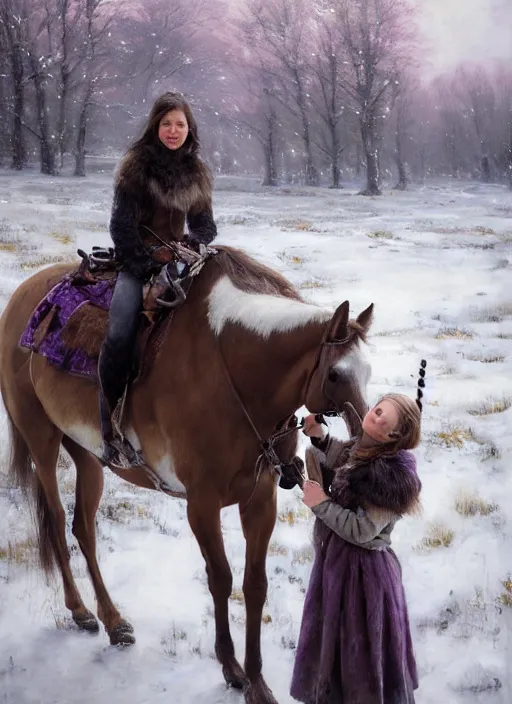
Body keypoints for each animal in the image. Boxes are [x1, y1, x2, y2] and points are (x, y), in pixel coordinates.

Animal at [0, 245, 372, 700]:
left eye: (368, 371)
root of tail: (20, 297)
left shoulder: (260, 498)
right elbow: (221, 579)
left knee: (82, 528)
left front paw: (257, 681)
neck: (235, 375)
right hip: (41, 438)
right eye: (335, 374)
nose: (366, 438)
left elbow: (255, 584)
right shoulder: (202, 504)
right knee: (55, 520)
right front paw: (231, 669)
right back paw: (81, 611)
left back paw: (114, 622)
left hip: (88, 455)